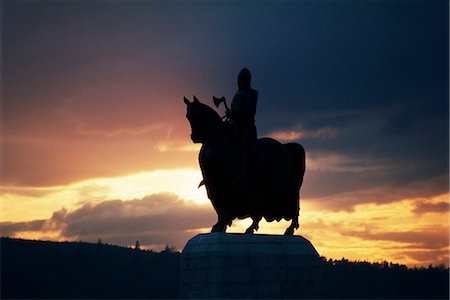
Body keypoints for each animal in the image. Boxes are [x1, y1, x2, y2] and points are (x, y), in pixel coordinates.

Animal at [184, 96, 306, 234]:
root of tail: (287, 147)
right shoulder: (212, 181)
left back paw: (286, 228)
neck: (215, 141)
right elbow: (218, 202)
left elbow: (228, 200)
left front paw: (224, 223)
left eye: (199, 114)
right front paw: (219, 225)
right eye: (188, 116)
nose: (194, 137)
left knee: (294, 198)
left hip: (286, 183)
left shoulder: (224, 180)